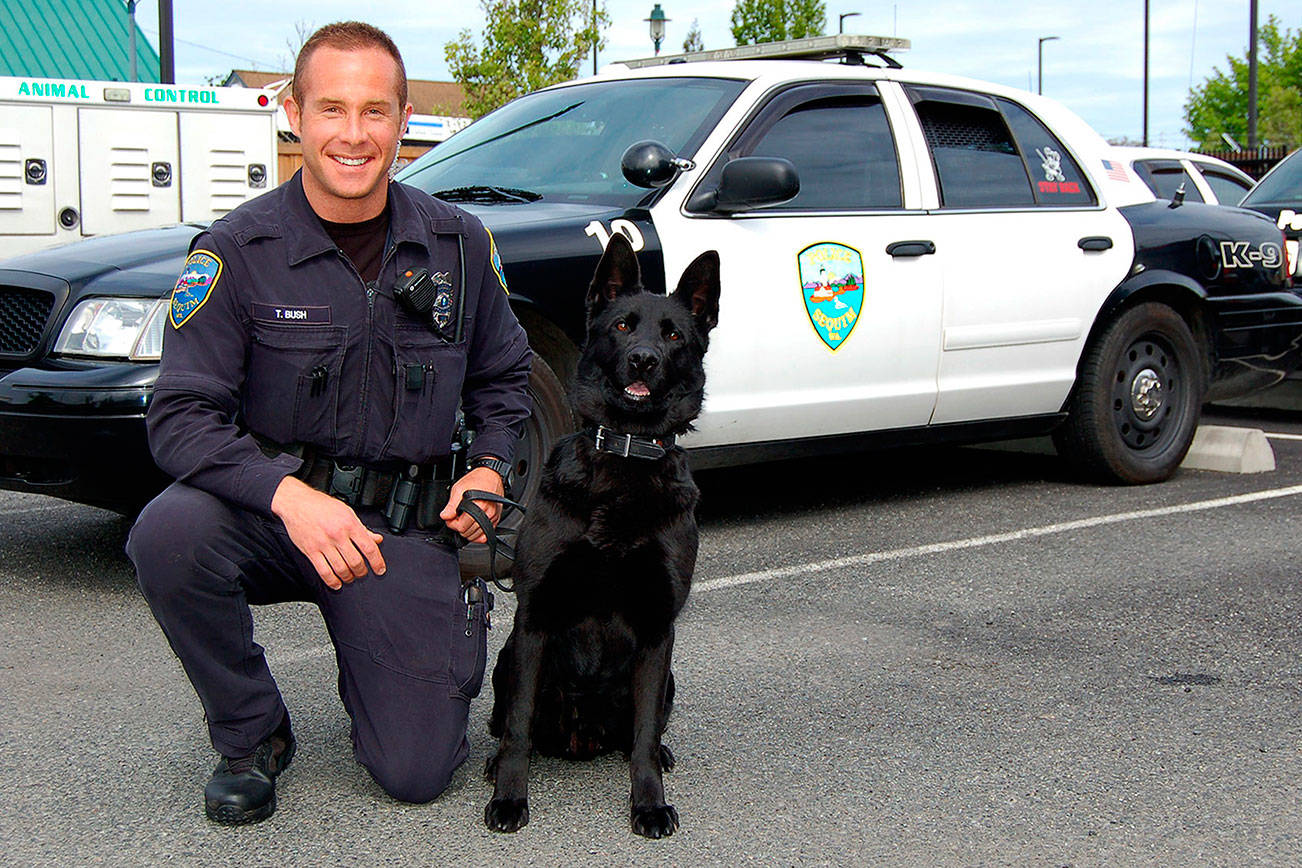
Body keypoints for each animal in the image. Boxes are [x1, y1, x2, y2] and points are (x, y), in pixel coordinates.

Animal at [484, 234, 723, 838]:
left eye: (673, 335)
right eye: (621, 326)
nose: (643, 359)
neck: (626, 456)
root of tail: (581, 739)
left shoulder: (658, 627)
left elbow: (642, 737)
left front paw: (648, 802)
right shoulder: (535, 617)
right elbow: (518, 726)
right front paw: (509, 797)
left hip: (668, 679)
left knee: (644, 729)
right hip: (507, 659)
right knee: (509, 723)